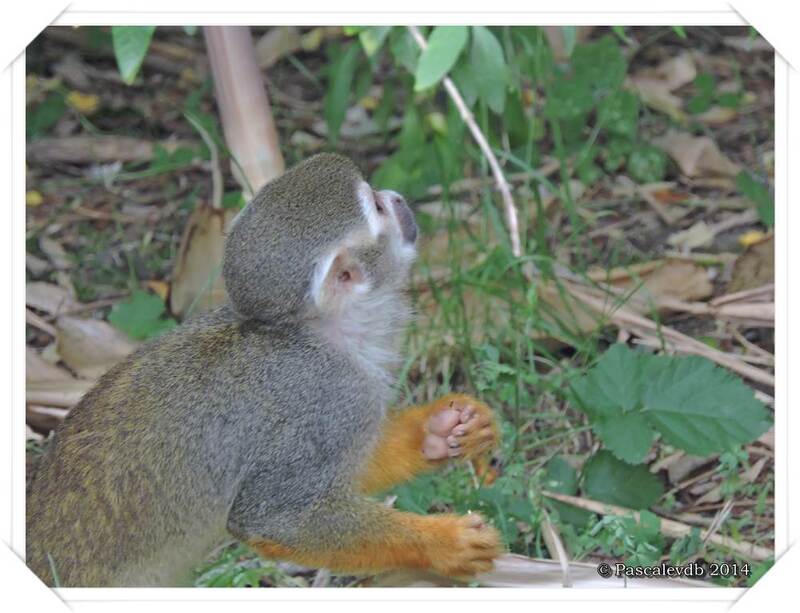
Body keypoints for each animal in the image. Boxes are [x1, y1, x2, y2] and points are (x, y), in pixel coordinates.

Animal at [26, 153, 500, 584]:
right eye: (379, 209)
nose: (397, 199)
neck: (317, 333)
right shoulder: (335, 394)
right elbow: (276, 517)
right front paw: (443, 544)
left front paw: (438, 431)